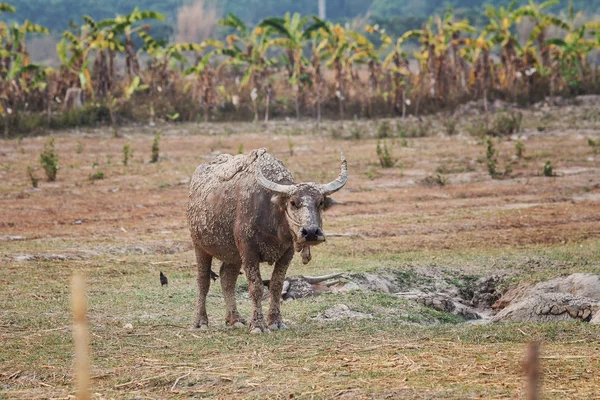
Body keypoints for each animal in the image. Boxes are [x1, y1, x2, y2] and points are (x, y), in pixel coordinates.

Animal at [186, 148, 346, 332]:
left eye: (320, 202)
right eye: (293, 202)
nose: (311, 232)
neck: (272, 217)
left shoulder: (287, 252)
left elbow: (276, 285)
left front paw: (275, 321)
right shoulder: (248, 251)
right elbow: (255, 287)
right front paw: (257, 324)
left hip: (233, 255)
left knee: (227, 278)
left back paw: (235, 318)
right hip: (199, 245)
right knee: (203, 281)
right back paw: (200, 321)